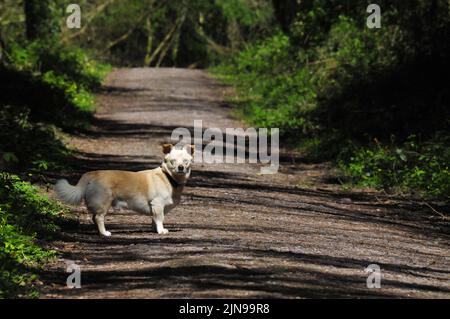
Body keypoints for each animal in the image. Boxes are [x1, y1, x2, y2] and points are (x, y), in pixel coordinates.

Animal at [54, 144, 193, 236]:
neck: (168, 177)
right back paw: (104, 233)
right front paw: (161, 230)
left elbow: (154, 220)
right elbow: (160, 219)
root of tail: (92, 173)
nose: (181, 167)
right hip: (104, 203)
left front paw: (154, 229)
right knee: (98, 217)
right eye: (173, 161)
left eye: (185, 161)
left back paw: (98, 232)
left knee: (94, 218)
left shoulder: (156, 208)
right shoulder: (157, 204)